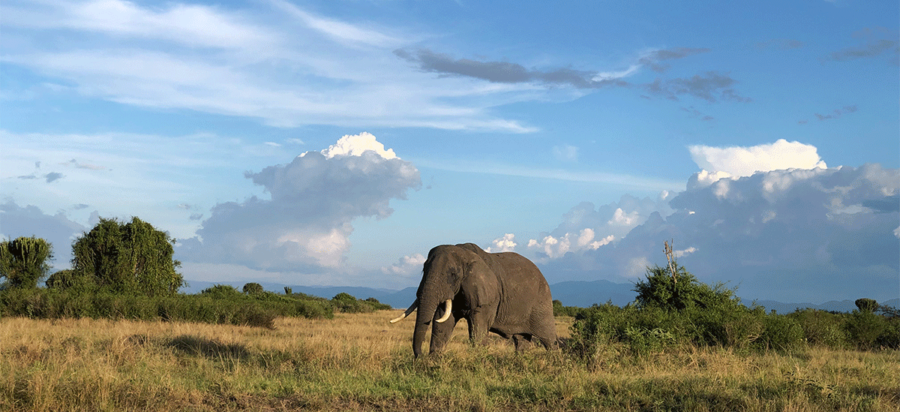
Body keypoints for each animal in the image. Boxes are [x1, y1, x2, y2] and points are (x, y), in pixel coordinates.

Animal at [388, 243, 556, 356]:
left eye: (453, 274)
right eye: (423, 269)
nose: (420, 356)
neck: (464, 254)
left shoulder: (487, 296)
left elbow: (478, 328)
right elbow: (443, 322)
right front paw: (434, 361)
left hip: (542, 302)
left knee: (548, 338)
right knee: (521, 340)